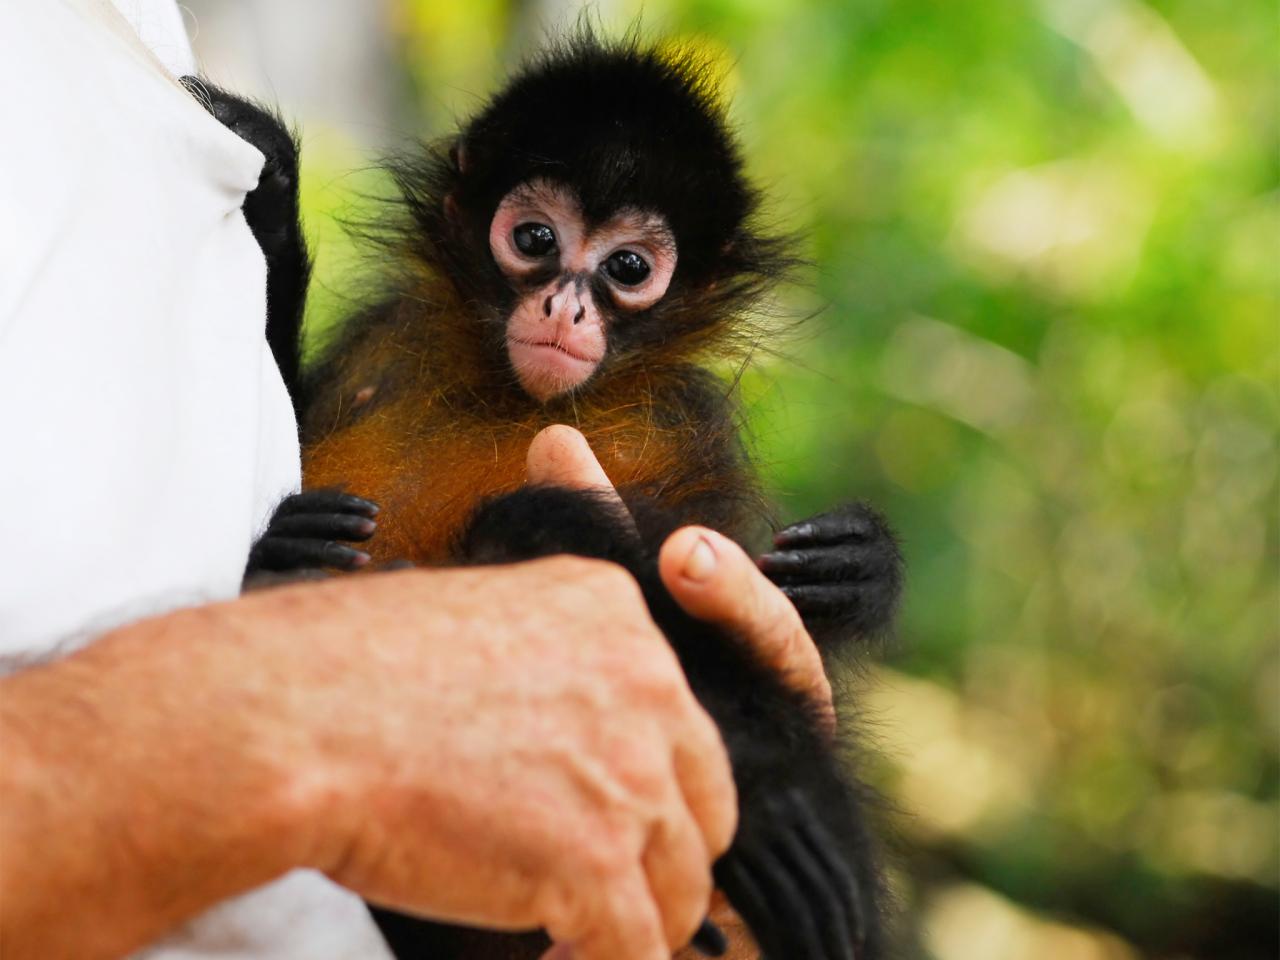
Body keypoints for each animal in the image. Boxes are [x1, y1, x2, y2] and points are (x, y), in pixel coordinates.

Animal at [197, 28, 901, 960]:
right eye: (533, 237)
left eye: (629, 267)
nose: (565, 306)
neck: (517, 397)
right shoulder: (381, 343)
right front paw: (270, 193)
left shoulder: (691, 425)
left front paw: (856, 577)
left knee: (535, 520)